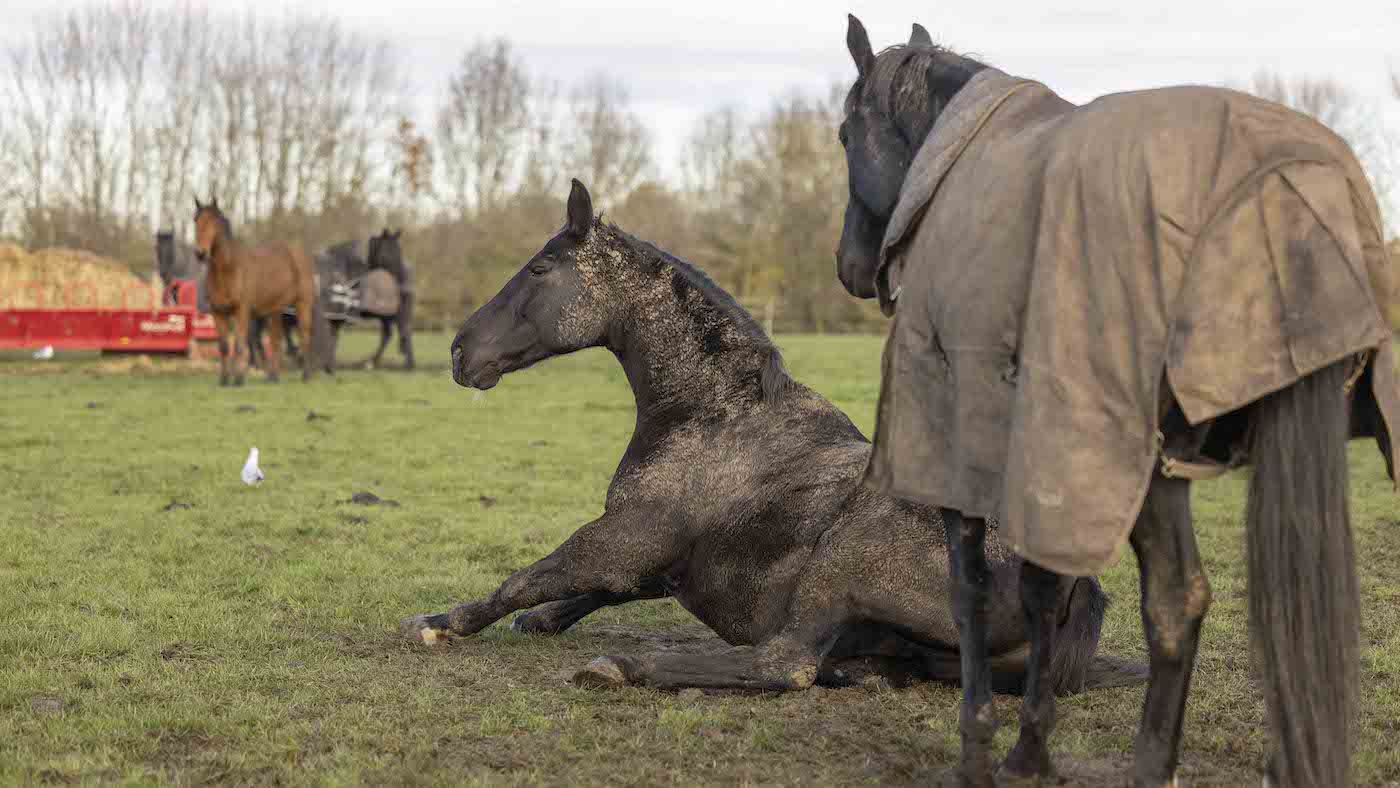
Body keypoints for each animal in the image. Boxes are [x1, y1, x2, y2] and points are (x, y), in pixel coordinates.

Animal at [192, 197, 324, 385]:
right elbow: (224, 346)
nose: (200, 253)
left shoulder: (241, 311)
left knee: (304, 335)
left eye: (213, 222)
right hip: (275, 310)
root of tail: (300, 254)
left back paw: (305, 375)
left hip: (302, 304)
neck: (228, 269)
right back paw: (273, 377)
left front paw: (238, 379)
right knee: (276, 339)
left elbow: (239, 345)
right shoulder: (218, 312)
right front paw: (224, 380)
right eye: (196, 220)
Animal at [399, 179, 1146, 697]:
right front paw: (540, 621)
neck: (716, 417)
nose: (461, 352)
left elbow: (525, 578)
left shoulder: (624, 536)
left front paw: (436, 624)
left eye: (539, 270)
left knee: (785, 664)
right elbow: (582, 591)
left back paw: (626, 665)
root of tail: (1076, 587)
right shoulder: (653, 558)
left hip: (841, 561)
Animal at [835, 17, 1399, 788]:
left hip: (1142, 460)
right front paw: (1031, 751)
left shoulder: (961, 446)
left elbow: (970, 590)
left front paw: (979, 750)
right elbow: (1043, 592)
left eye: (842, 135)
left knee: (1174, 602)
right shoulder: (1042, 455)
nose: (848, 267)